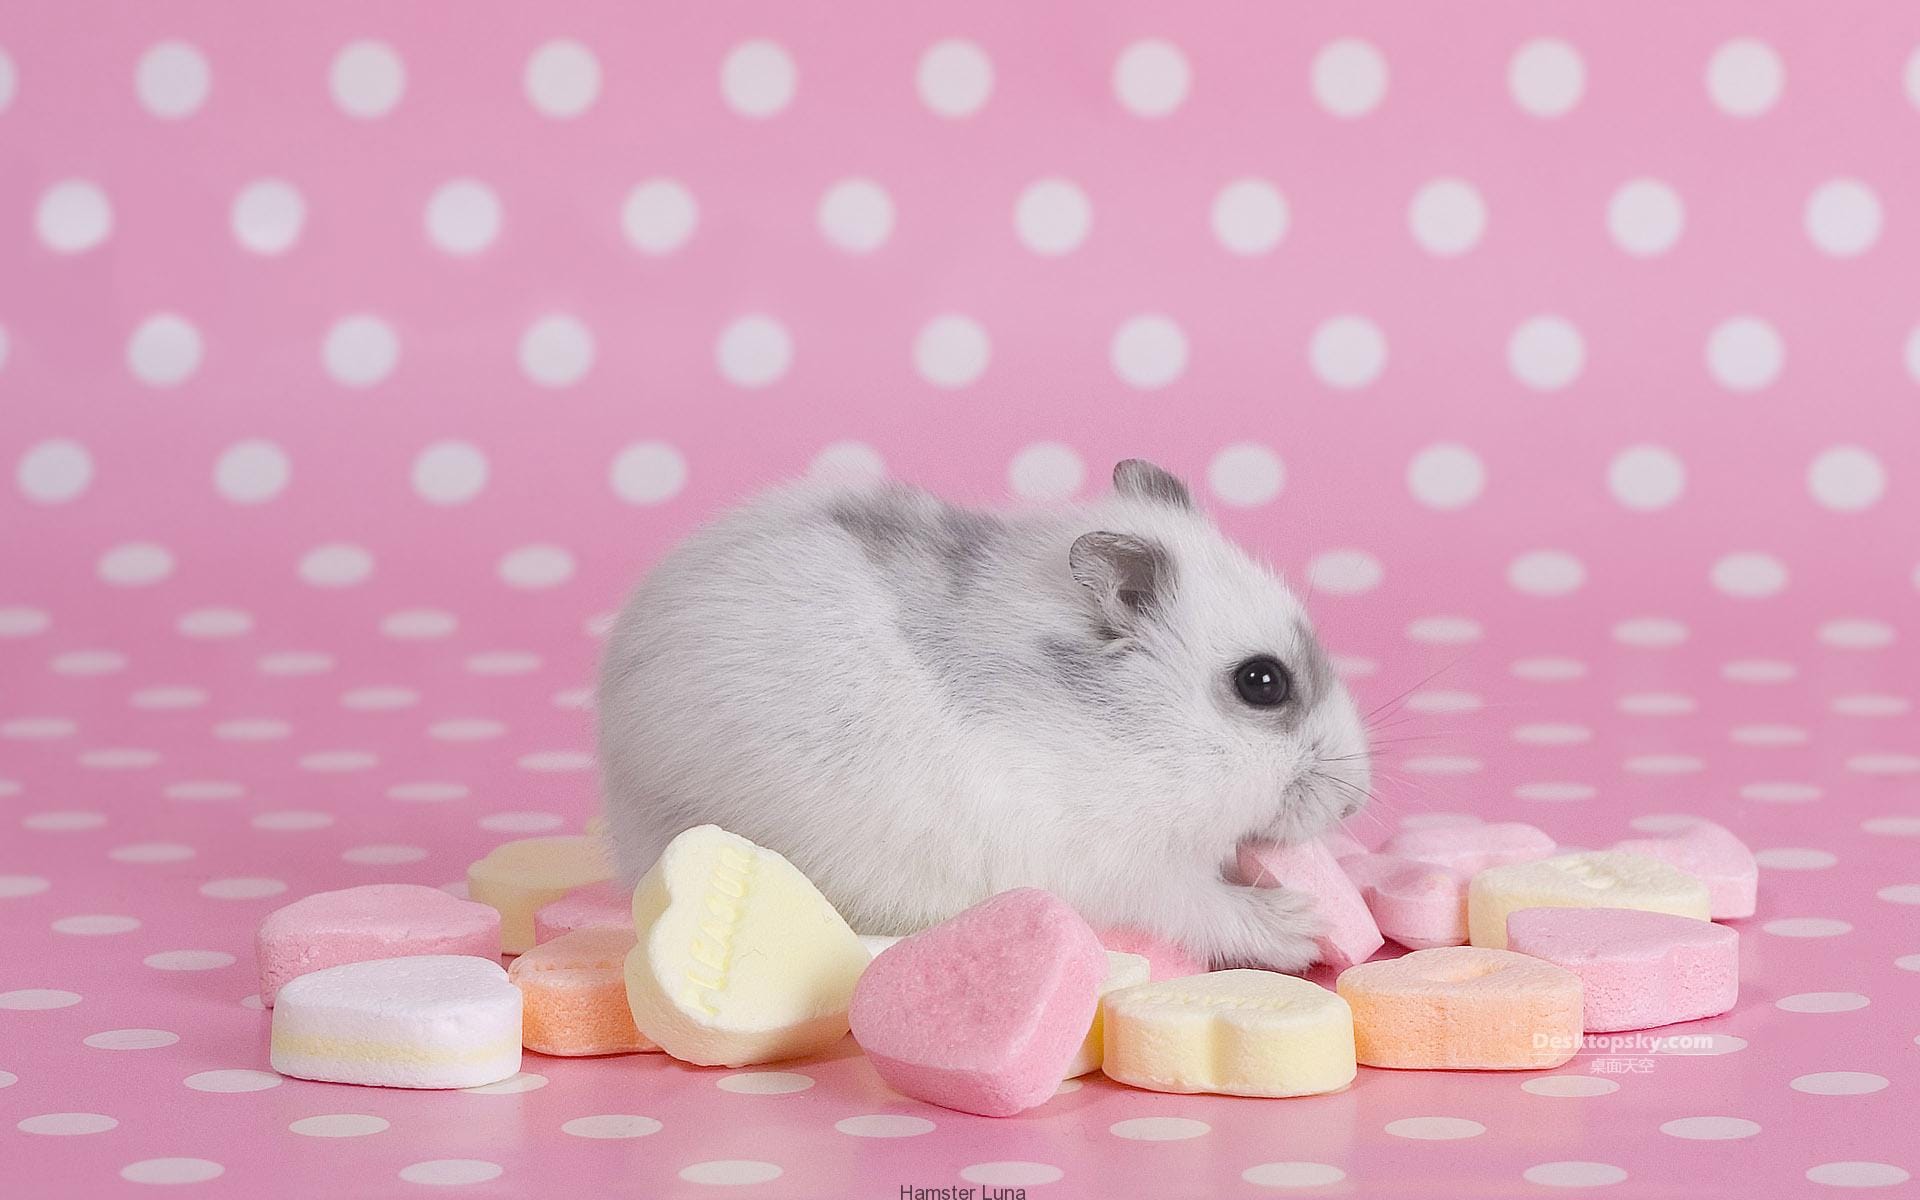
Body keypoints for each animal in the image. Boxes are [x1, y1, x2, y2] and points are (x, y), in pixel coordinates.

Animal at [596, 459, 1371, 972]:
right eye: (1262, 682)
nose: (1355, 805)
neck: (1128, 737)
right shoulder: (1116, 869)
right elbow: (1198, 902)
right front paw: (1301, 926)